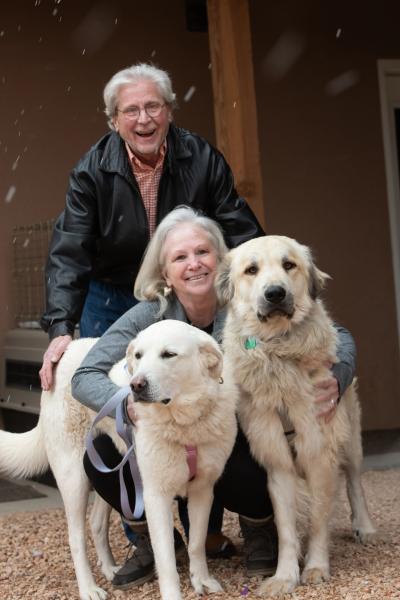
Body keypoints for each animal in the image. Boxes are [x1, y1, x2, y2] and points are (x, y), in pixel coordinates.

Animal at [0, 322, 238, 600]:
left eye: (169, 354)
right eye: (138, 356)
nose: (136, 385)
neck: (184, 423)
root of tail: (66, 350)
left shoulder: (203, 489)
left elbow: (197, 543)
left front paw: (201, 580)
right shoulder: (156, 495)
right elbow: (166, 560)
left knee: (96, 524)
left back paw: (110, 568)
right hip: (73, 478)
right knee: (76, 539)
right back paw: (89, 588)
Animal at [217, 237, 376, 596]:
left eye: (289, 265)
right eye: (251, 270)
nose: (275, 293)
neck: (278, 351)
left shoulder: (319, 453)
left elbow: (318, 520)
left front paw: (316, 567)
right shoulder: (277, 460)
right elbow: (287, 527)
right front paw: (285, 576)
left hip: (350, 438)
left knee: (354, 482)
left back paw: (365, 527)